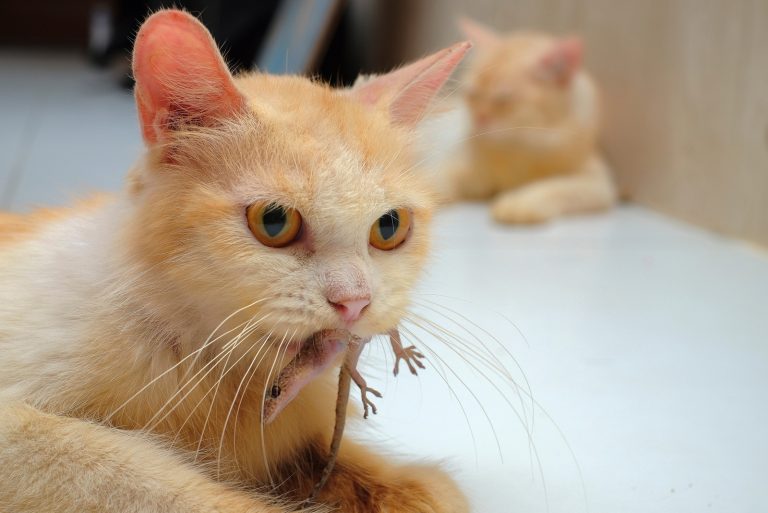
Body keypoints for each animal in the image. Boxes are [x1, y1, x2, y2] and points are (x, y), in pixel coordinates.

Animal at [0, 9, 472, 512]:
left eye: (389, 227)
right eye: (274, 221)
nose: (355, 302)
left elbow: (404, 480)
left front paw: (410, 487)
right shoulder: (22, 432)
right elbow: (145, 482)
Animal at [448, 19, 616, 223]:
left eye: (503, 99)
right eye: (473, 95)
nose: (479, 118)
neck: (524, 147)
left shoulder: (599, 183)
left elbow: (557, 186)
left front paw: (519, 203)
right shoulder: (460, 167)